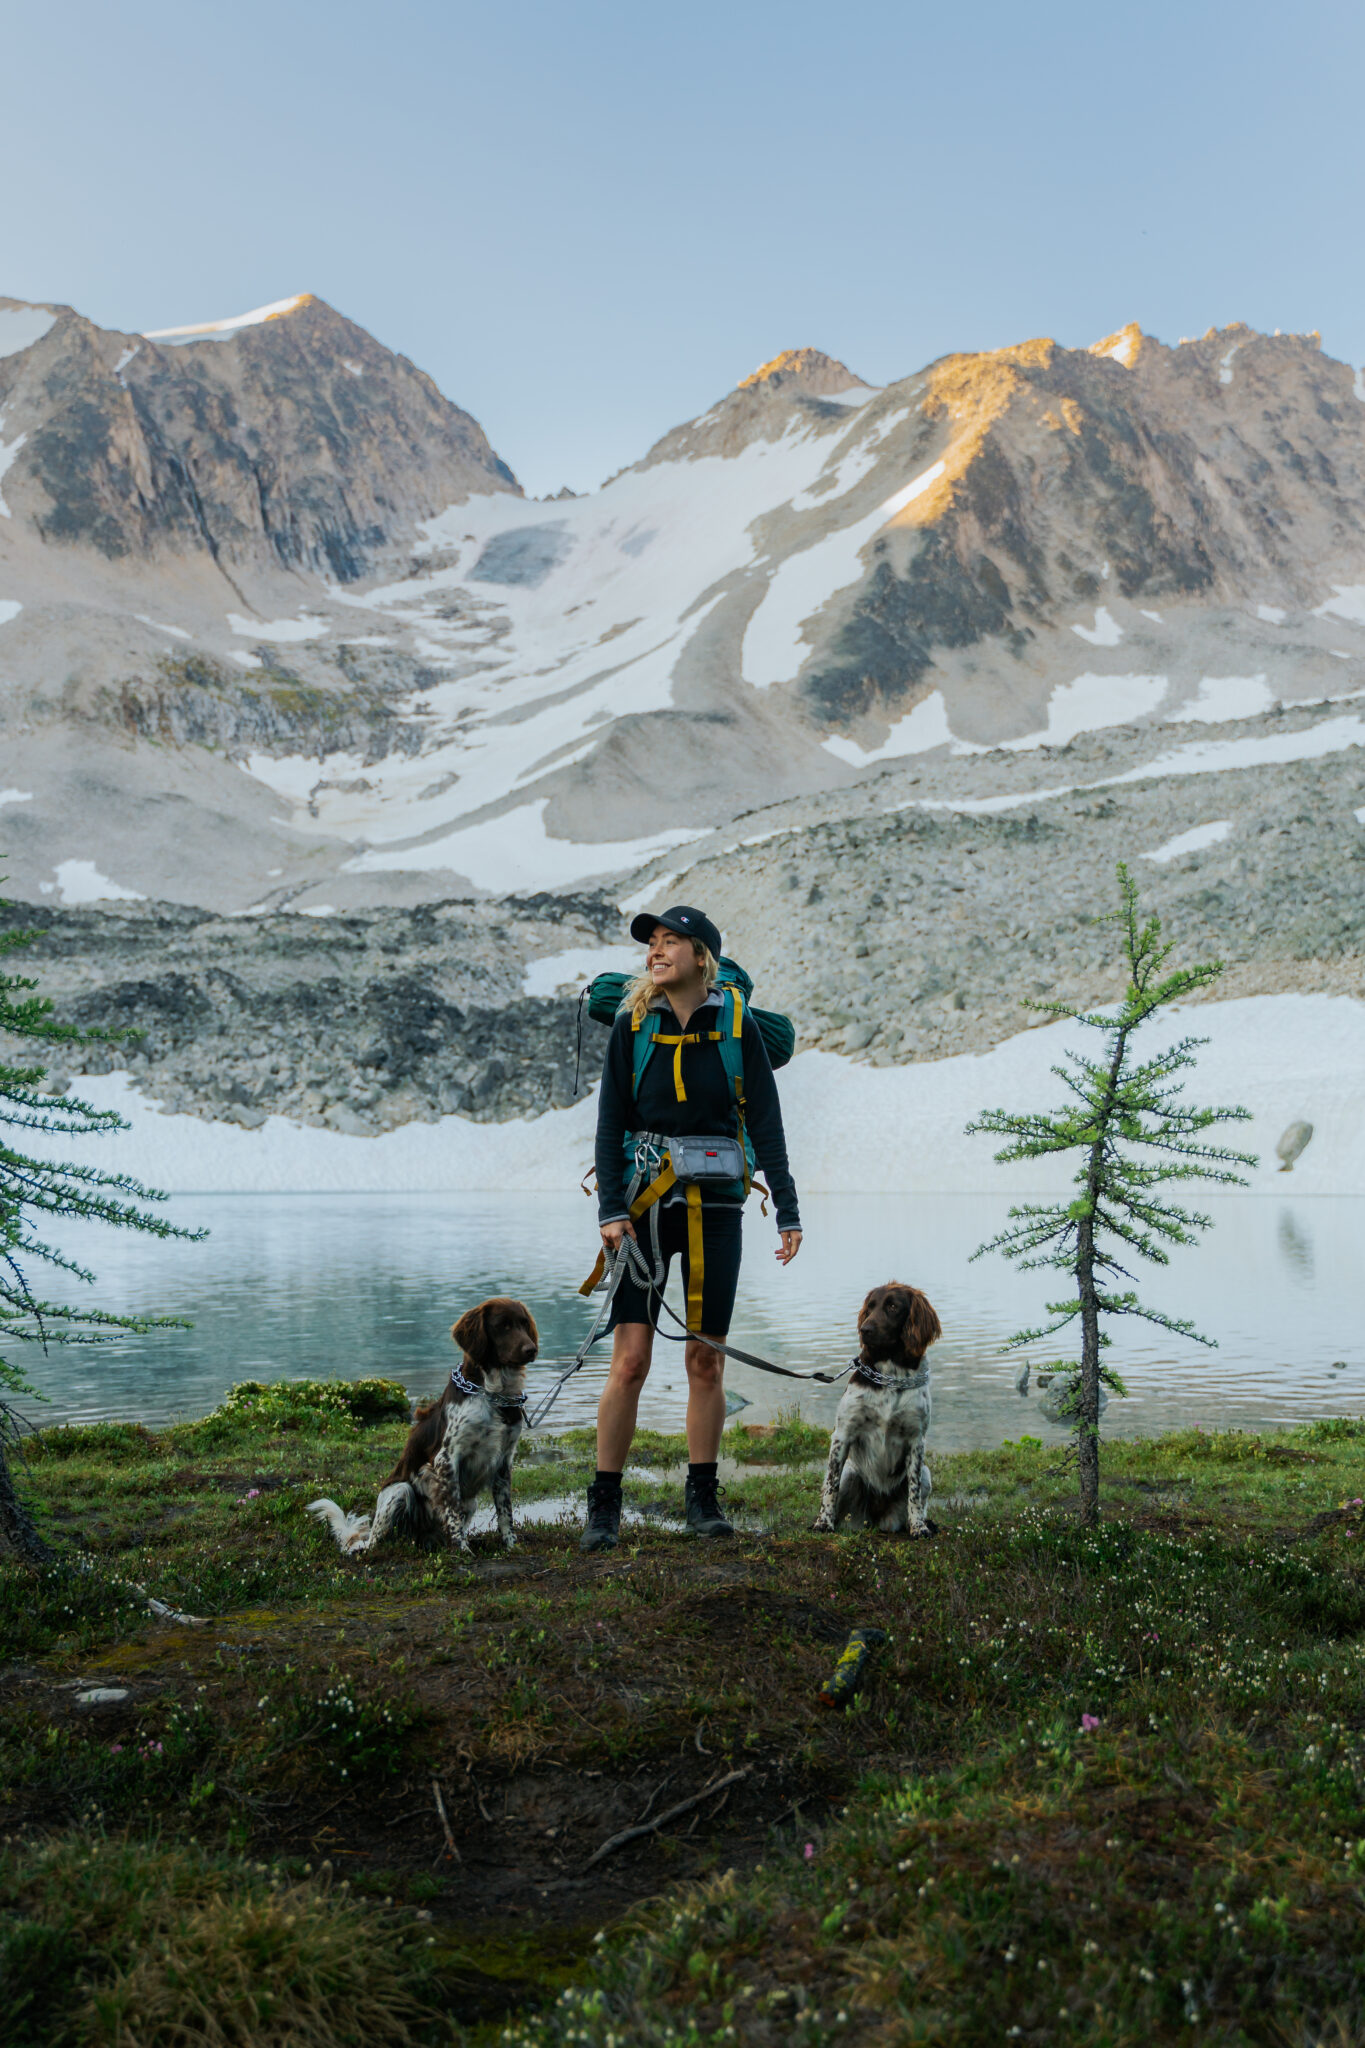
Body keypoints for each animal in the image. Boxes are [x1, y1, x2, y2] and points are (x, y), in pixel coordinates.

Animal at [309, 1302, 540, 1556]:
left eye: (523, 1323)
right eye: (503, 1326)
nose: (531, 1350)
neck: (492, 1394)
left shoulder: (503, 1461)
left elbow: (505, 1512)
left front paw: (511, 1545)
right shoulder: (446, 1459)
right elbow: (452, 1512)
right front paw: (462, 1550)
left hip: (470, 1502)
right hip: (399, 1491)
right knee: (376, 1541)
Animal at [810, 1277, 941, 1540]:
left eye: (892, 1306)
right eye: (870, 1307)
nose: (865, 1330)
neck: (891, 1375)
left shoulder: (916, 1439)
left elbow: (913, 1492)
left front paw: (918, 1527)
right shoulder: (842, 1434)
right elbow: (830, 1485)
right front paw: (823, 1523)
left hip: (926, 1473)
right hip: (851, 1475)